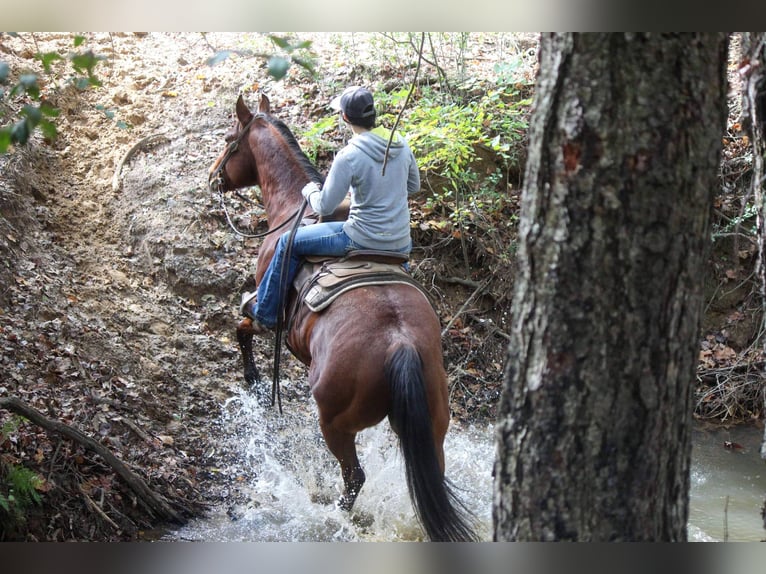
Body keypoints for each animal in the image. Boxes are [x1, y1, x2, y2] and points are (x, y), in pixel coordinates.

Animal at [207, 92, 476, 544]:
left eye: (230, 140)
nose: (213, 179)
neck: (291, 210)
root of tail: (401, 345)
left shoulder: (266, 307)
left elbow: (243, 324)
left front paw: (253, 380)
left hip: (335, 422)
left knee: (354, 477)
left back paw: (333, 515)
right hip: (434, 421)